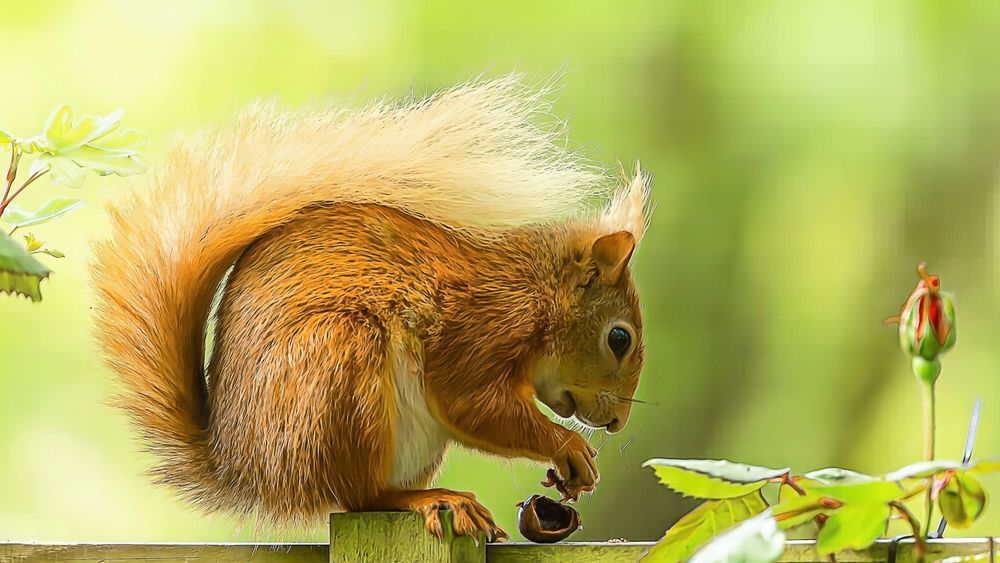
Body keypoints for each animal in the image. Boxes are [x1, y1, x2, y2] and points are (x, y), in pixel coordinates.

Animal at [91, 75, 650, 541]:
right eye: (618, 338)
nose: (618, 423)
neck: (534, 293)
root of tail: (245, 469)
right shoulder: (481, 326)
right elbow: (470, 403)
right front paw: (569, 447)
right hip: (342, 367)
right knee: (360, 496)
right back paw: (431, 499)